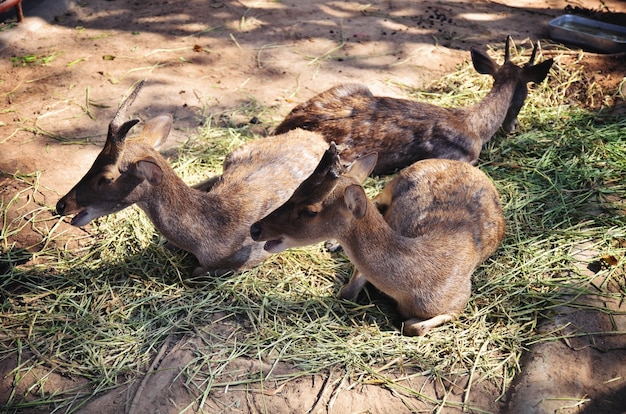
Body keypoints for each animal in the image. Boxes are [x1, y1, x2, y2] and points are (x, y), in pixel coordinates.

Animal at [54, 80, 326, 274]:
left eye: (107, 177)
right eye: (94, 159)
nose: (61, 205)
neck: (205, 239)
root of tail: (316, 137)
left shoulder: (251, 257)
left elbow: (197, 271)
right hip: (234, 153)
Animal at [249, 144, 502, 334]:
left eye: (310, 211)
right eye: (296, 189)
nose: (255, 229)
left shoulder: (460, 300)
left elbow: (414, 327)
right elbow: (347, 292)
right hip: (393, 183)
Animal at [272, 36, 552, 176]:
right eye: (526, 94)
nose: (513, 126)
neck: (475, 127)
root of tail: (281, 126)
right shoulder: (459, 157)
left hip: (354, 86)